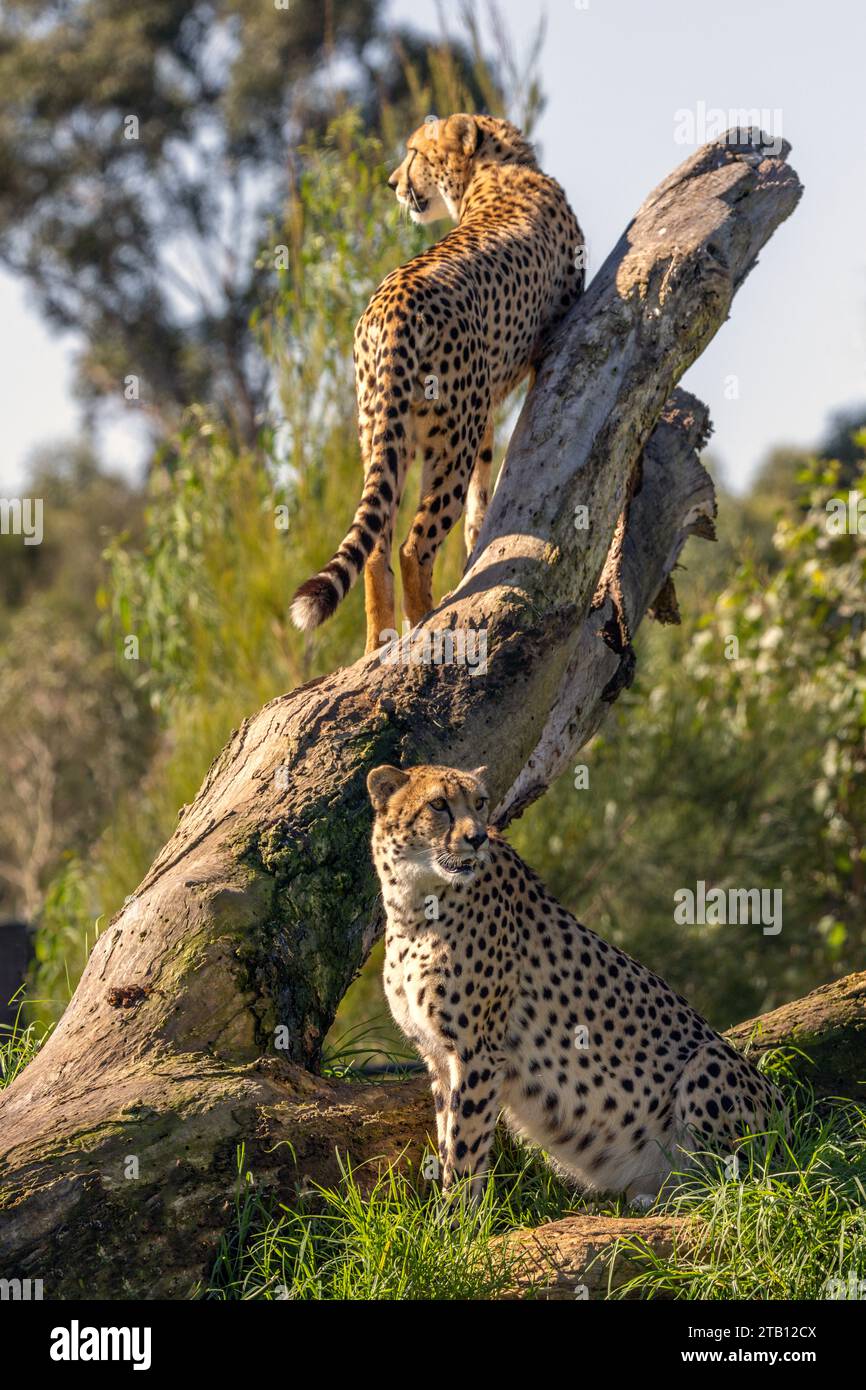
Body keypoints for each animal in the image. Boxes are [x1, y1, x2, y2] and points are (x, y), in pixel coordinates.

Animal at [291, 111, 583, 653]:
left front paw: (475, 538)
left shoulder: (482, 409)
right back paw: (426, 620)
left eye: (414, 152)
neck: (499, 167)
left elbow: (481, 496)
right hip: (449, 439)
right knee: (413, 543)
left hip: (384, 432)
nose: (392, 183)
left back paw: (378, 642)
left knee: (376, 548)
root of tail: (391, 300)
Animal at [369, 767, 789, 1200]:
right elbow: (447, 1137)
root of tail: (792, 1132)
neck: (412, 905)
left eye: (480, 802)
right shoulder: (438, 1056)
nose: (478, 837)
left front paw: (457, 1217)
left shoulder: (477, 1051)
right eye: (438, 804)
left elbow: (464, 1147)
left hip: (710, 1062)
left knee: (738, 1188)